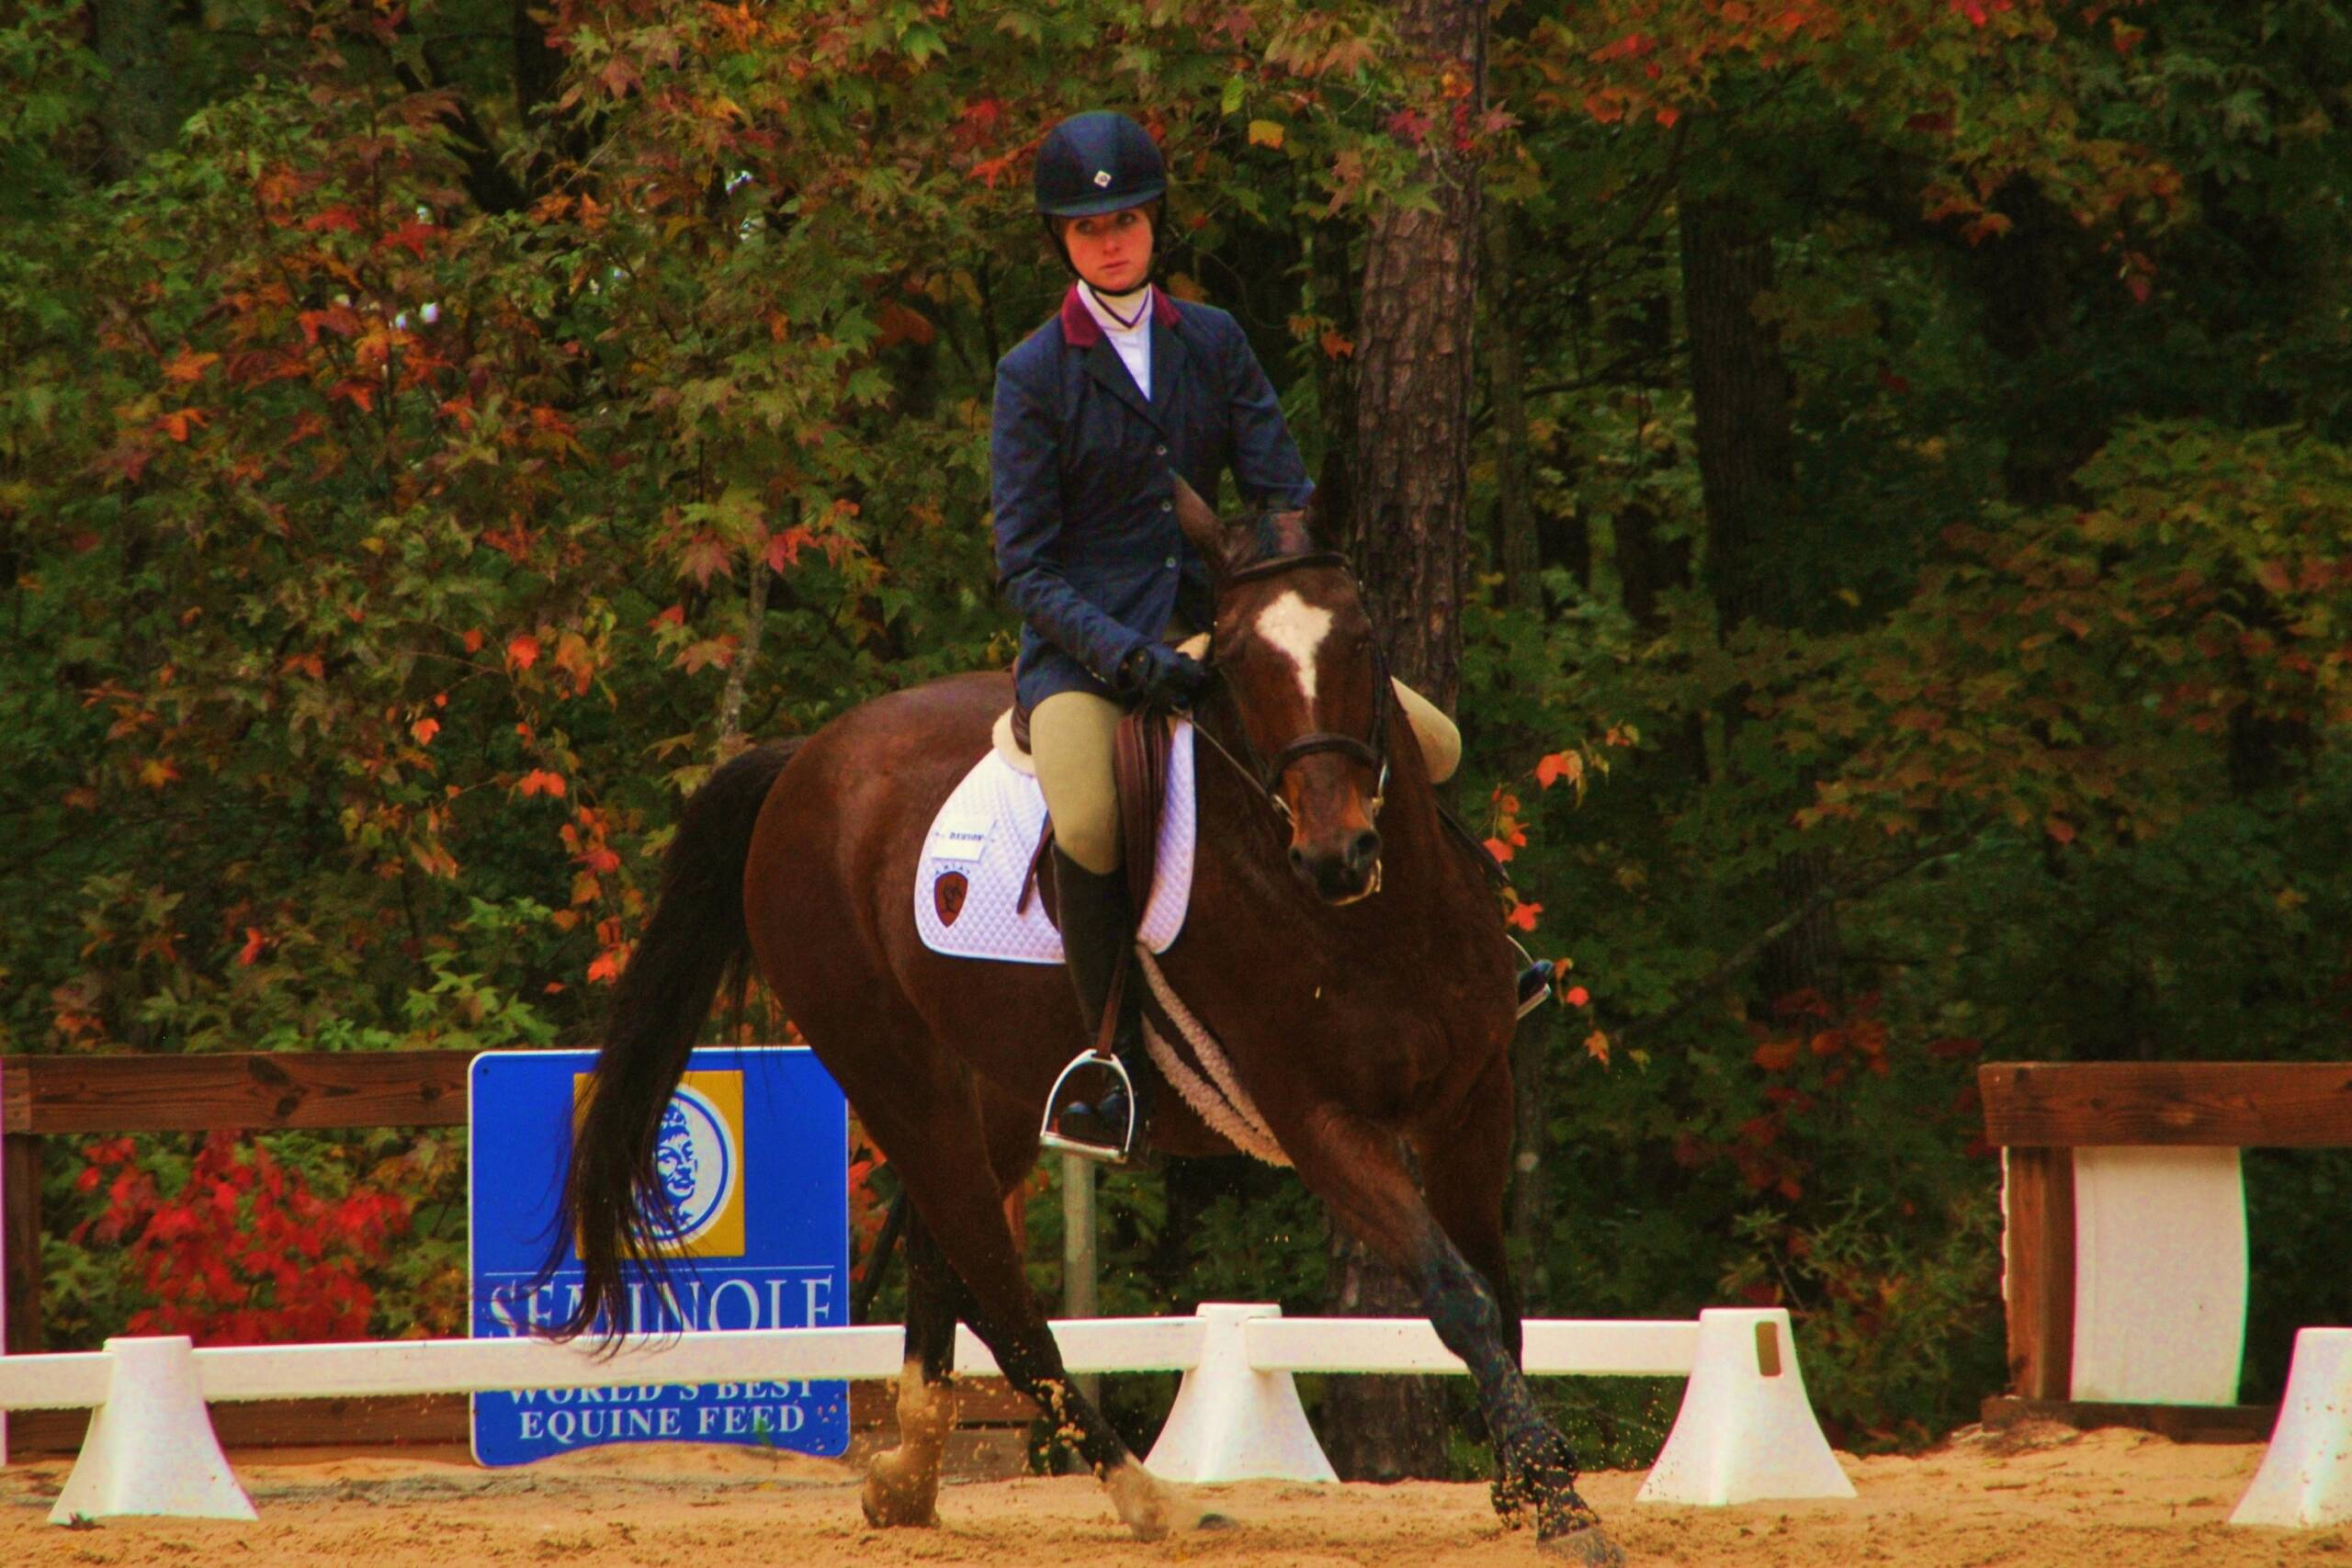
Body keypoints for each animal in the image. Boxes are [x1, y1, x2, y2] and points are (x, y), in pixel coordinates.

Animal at [552, 484, 1627, 1561]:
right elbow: (1456, 1291)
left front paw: (1524, 1487)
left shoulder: (1473, 1098)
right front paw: (1558, 1501)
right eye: (1238, 661)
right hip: (898, 1083)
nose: (1337, 854)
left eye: (1359, 638)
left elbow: (1500, 1290)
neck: (1374, 924)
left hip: (996, 1090)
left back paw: (909, 1479)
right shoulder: (1320, 1123)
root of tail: (802, 764)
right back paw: (1151, 1499)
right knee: (1001, 1297)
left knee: (945, 1259)